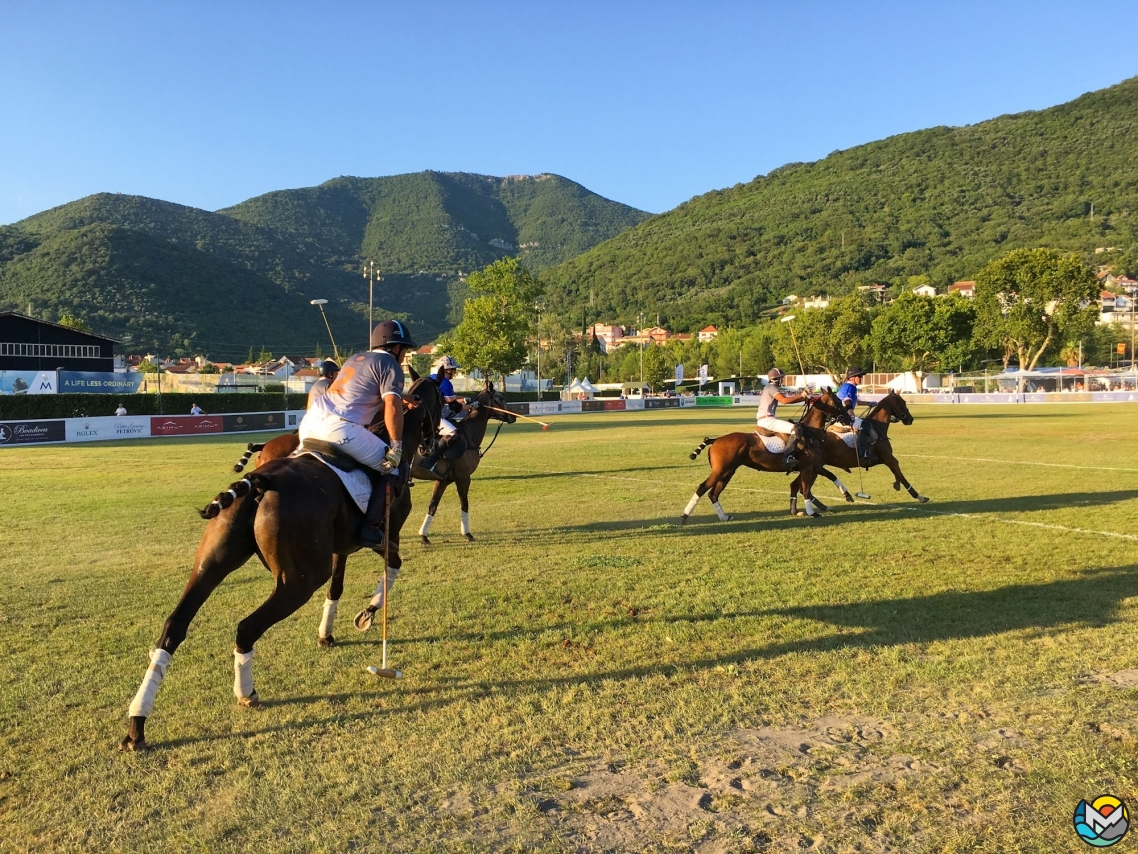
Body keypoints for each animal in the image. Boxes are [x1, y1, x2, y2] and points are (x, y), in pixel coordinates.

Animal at [120, 378, 439, 751]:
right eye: (443, 403)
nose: (435, 447)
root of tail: (259, 482)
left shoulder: (340, 547)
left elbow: (337, 587)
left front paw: (327, 633)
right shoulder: (387, 537)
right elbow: (393, 568)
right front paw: (368, 614)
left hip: (211, 564)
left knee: (174, 626)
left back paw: (137, 723)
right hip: (300, 578)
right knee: (246, 627)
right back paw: (245, 693)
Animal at [409, 384, 516, 544]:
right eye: (500, 397)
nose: (513, 416)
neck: (469, 434)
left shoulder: (442, 481)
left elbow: (433, 506)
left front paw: (424, 536)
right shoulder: (463, 477)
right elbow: (465, 504)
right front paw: (467, 533)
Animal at [678, 391, 851, 526]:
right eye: (837, 401)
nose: (848, 419)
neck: (810, 432)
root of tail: (716, 440)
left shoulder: (811, 467)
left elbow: (808, 486)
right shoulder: (808, 467)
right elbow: (807, 489)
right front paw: (812, 512)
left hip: (728, 472)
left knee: (713, 494)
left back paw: (724, 517)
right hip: (720, 470)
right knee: (702, 488)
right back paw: (684, 517)